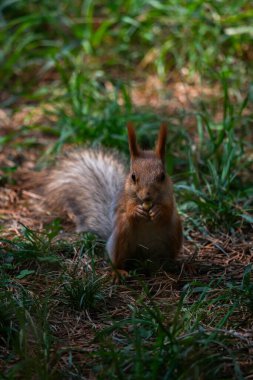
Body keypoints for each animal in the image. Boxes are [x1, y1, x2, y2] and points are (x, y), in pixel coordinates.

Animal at [44, 124, 183, 274]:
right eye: (133, 176)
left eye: (162, 176)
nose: (147, 195)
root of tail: (143, 261)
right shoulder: (124, 199)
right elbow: (127, 211)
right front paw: (135, 211)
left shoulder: (169, 196)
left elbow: (168, 210)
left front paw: (158, 211)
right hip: (121, 236)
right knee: (118, 261)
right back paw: (119, 272)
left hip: (174, 235)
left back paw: (168, 266)